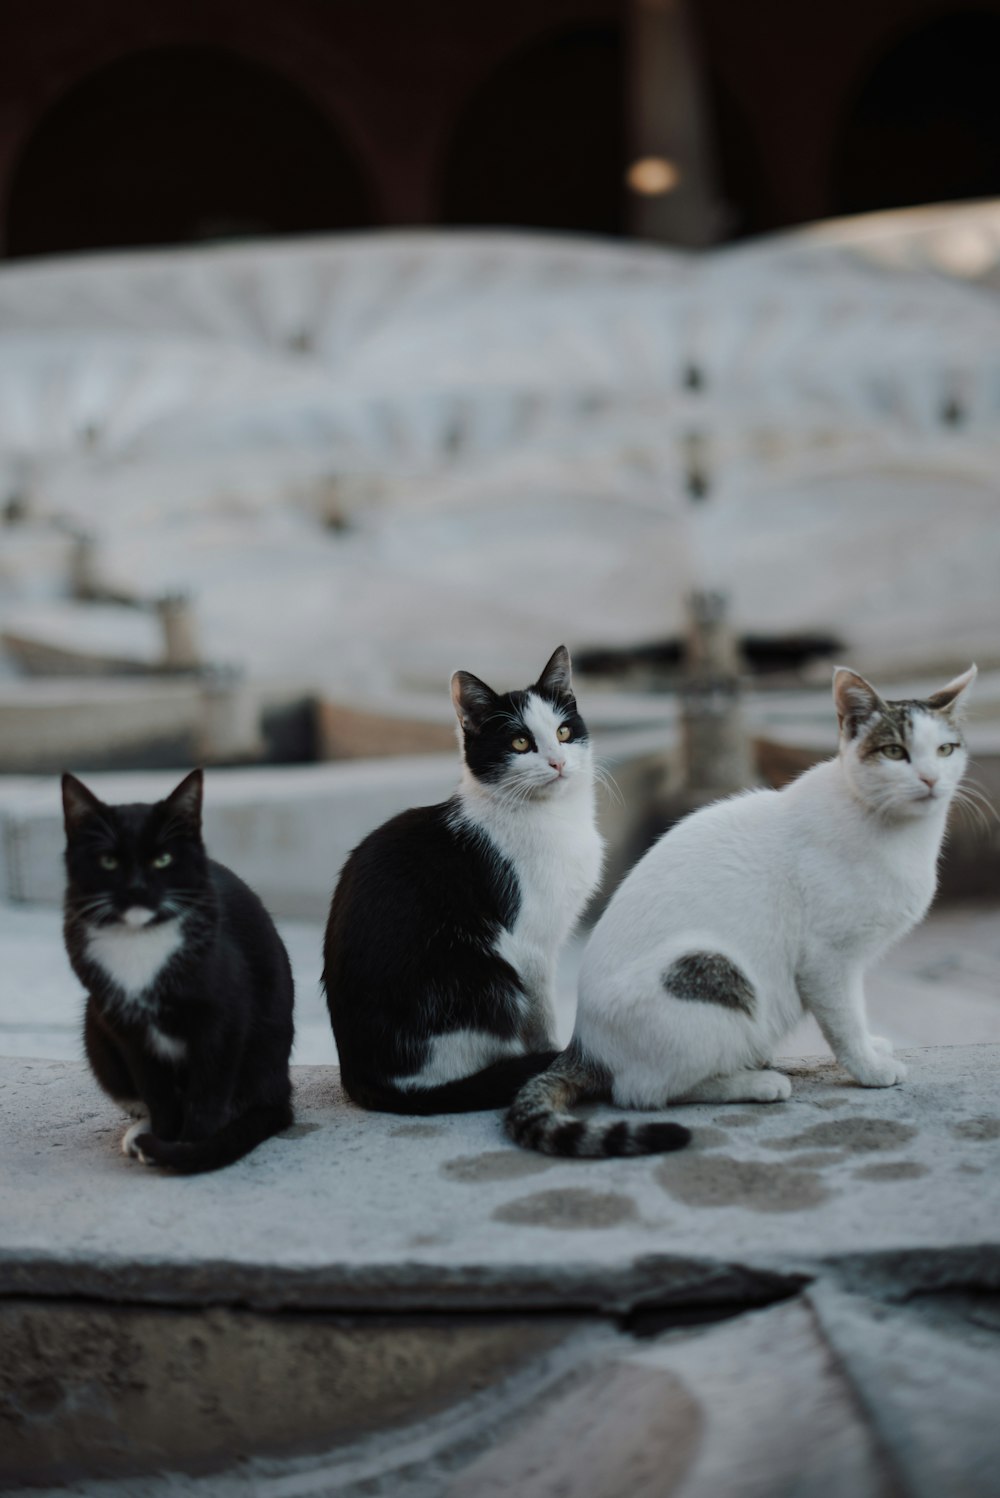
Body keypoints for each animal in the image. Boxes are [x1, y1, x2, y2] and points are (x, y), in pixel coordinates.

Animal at [61, 772, 293, 1168]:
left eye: (163, 859)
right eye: (108, 862)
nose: (138, 889)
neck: (140, 941)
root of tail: (281, 1090)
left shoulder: (224, 1017)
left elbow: (207, 1095)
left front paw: (190, 1149)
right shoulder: (127, 1029)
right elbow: (158, 1093)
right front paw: (166, 1139)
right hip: (97, 1029)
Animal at [321, 644, 601, 1114]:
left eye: (563, 732)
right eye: (520, 742)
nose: (559, 762)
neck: (550, 815)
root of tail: (363, 1078)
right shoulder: (529, 945)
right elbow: (542, 1013)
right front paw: (552, 1057)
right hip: (484, 980)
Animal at [511, 665, 982, 1156]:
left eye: (945, 749)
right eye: (895, 752)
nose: (930, 779)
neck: (899, 834)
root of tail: (583, 1045)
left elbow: (858, 1013)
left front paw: (874, 1046)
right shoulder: (828, 960)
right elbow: (845, 1020)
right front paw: (869, 1067)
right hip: (712, 970)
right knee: (641, 1092)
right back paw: (754, 1082)